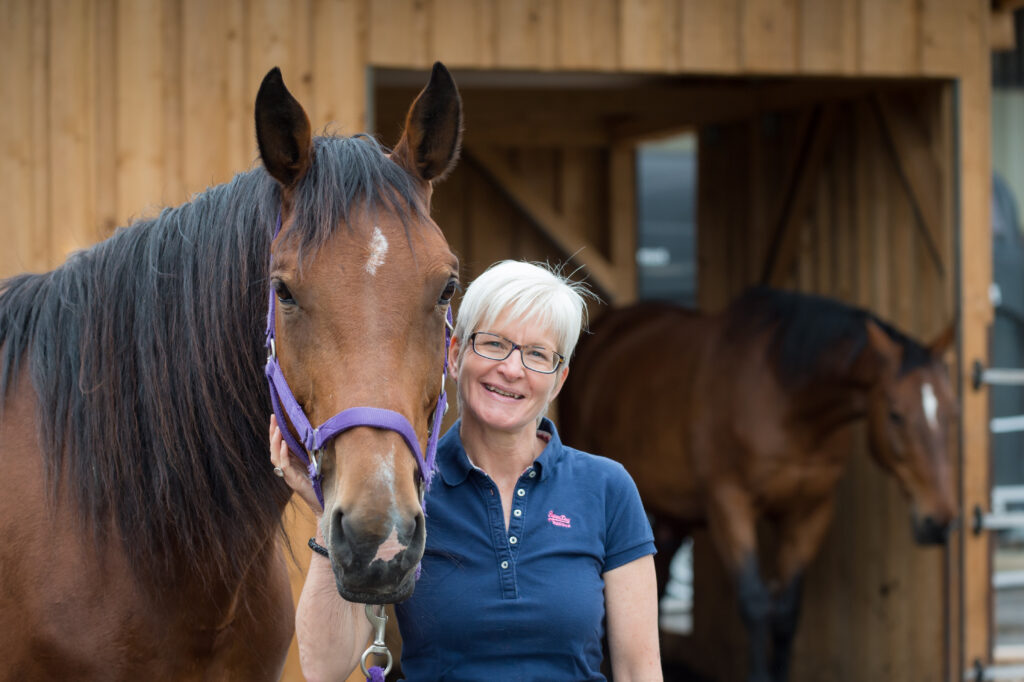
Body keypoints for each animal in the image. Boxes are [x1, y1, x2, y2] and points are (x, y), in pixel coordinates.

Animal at [557, 284, 954, 679]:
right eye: (896, 415)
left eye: (954, 410)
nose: (940, 522)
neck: (786, 399)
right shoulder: (729, 503)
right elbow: (756, 604)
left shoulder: (810, 511)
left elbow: (787, 614)